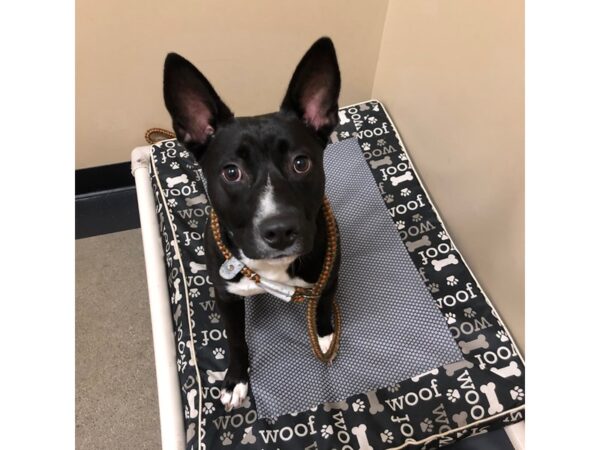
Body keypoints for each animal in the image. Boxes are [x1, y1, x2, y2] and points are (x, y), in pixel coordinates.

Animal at [163, 38, 342, 412]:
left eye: (301, 163)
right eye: (232, 172)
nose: (280, 231)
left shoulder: (329, 272)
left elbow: (321, 305)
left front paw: (324, 335)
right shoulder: (226, 297)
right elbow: (236, 341)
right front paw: (236, 380)